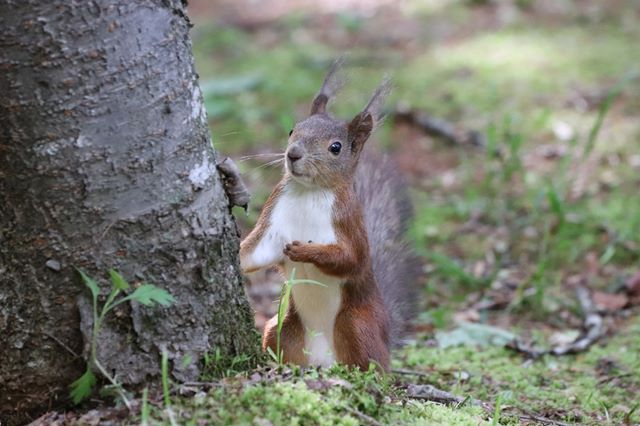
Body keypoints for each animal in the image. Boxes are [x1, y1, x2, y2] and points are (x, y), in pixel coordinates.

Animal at [238, 60, 418, 372]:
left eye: (336, 147)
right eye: (292, 130)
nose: (293, 154)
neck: (309, 192)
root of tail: (323, 362)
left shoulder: (348, 222)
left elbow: (351, 258)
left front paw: (305, 251)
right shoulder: (274, 216)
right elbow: (255, 254)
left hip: (357, 325)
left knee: (376, 365)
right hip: (280, 328)